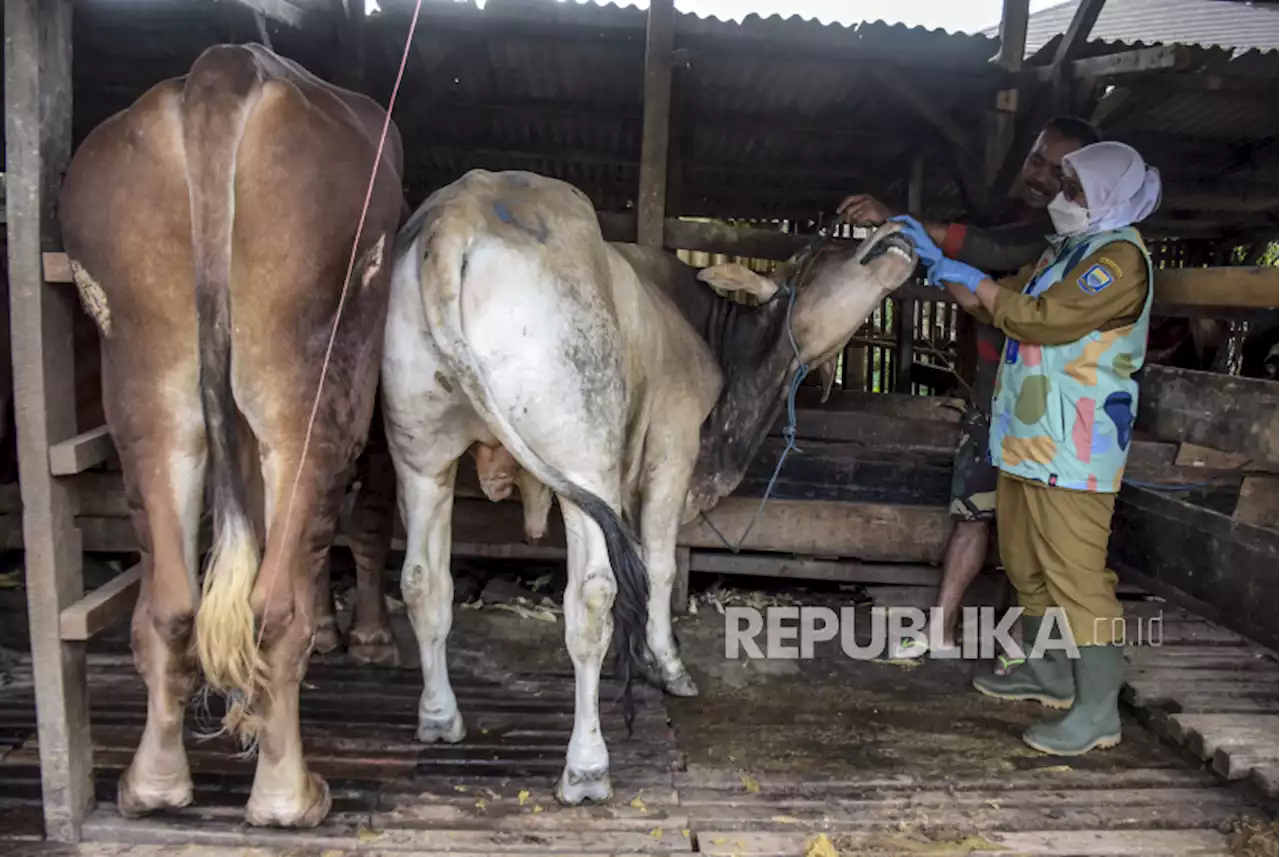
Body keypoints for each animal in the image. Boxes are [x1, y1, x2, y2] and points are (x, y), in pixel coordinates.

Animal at [56, 43, 399, 828]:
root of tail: (225, 69)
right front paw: (361, 635)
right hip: (306, 382)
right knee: (269, 602)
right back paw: (286, 794)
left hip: (150, 377)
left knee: (177, 601)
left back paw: (154, 783)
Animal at [378, 170, 921, 808]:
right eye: (821, 251)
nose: (893, 226)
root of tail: (463, 210)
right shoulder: (672, 448)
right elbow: (659, 566)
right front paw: (669, 664)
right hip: (582, 455)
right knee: (591, 600)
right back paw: (587, 767)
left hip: (421, 453)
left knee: (423, 582)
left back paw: (440, 717)